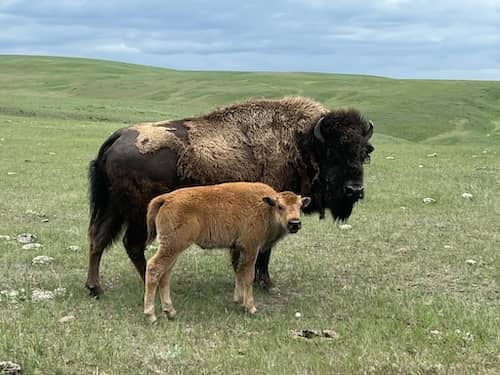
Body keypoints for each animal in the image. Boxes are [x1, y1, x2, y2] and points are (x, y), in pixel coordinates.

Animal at [87, 96, 376, 296]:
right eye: (333, 153)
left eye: (363, 153)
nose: (355, 190)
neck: (301, 144)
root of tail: (117, 136)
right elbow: (264, 252)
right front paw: (267, 283)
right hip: (138, 214)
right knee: (131, 244)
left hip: (113, 209)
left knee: (98, 240)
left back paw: (95, 288)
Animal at [143, 183, 310, 324]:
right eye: (280, 206)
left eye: (300, 206)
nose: (294, 223)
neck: (266, 207)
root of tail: (166, 198)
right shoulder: (251, 248)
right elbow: (248, 276)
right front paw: (251, 307)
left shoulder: (238, 249)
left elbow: (239, 272)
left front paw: (239, 301)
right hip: (172, 247)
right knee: (154, 268)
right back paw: (151, 316)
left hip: (173, 249)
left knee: (165, 275)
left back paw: (170, 312)